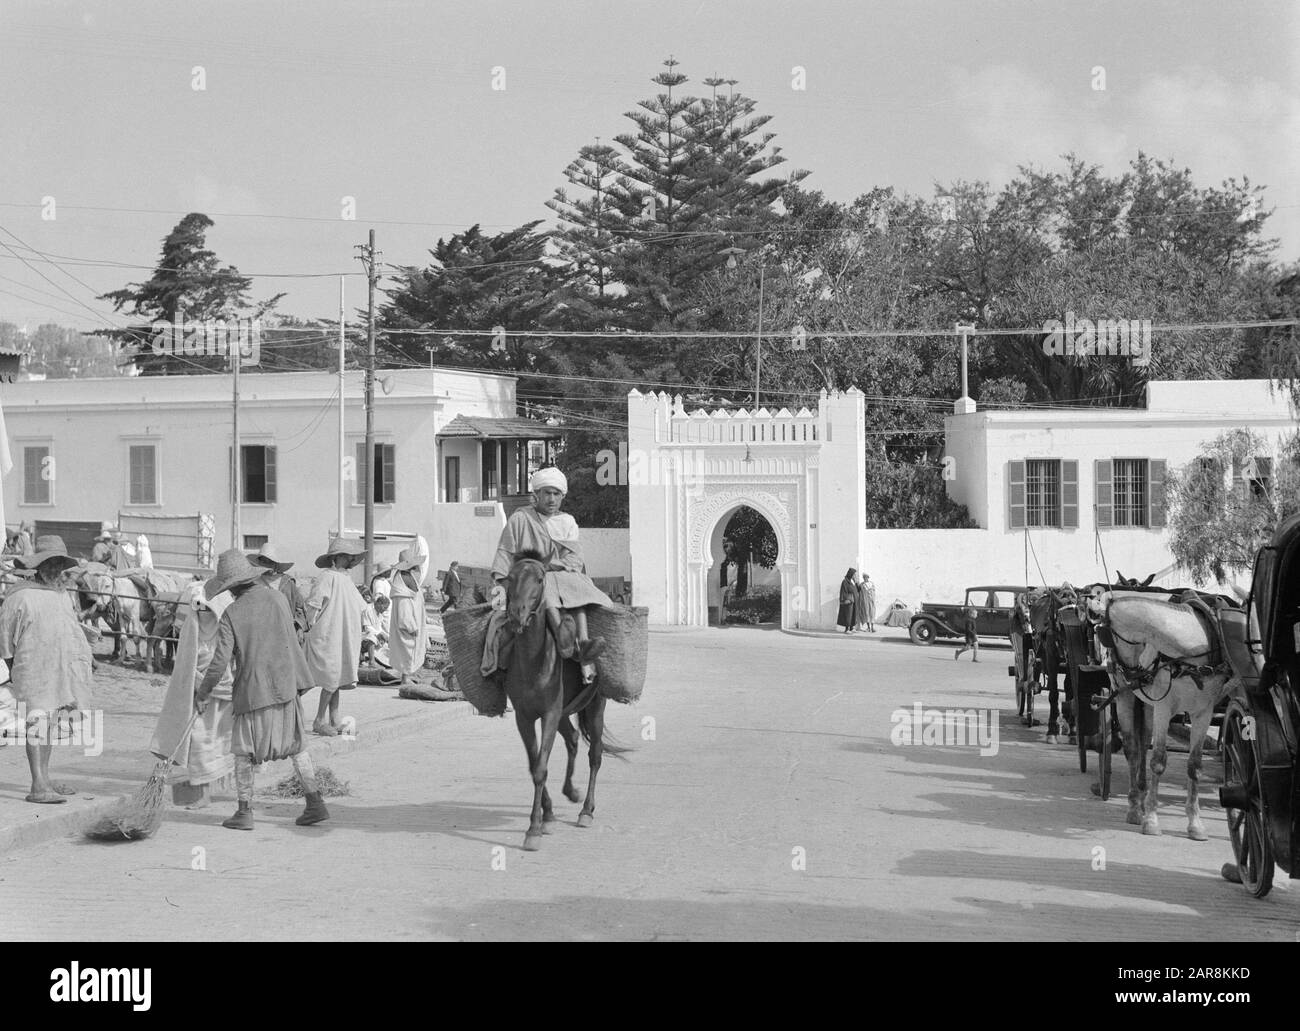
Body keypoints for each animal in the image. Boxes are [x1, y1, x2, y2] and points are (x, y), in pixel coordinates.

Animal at [501, 553, 629, 852]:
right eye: (510, 578)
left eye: (539, 579)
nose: (516, 615)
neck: (533, 663)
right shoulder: (524, 717)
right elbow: (534, 765)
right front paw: (546, 817)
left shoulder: (549, 713)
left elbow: (540, 768)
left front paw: (533, 829)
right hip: (563, 713)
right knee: (572, 739)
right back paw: (570, 792)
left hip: (595, 707)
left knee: (595, 755)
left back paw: (586, 811)